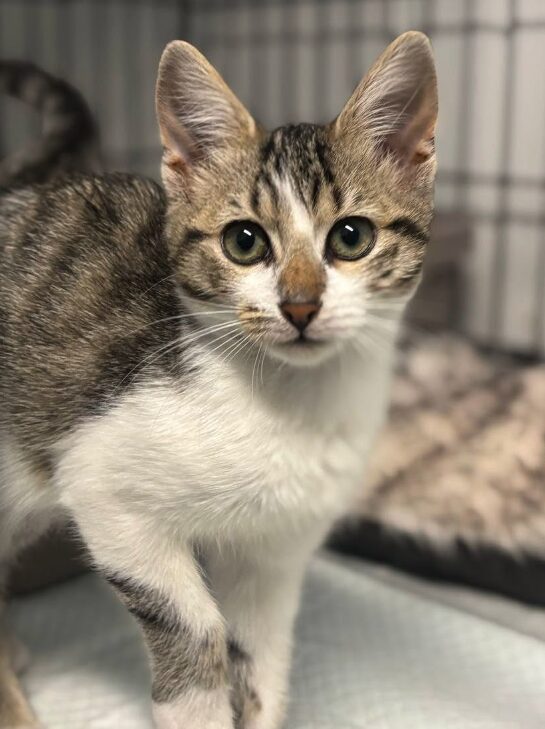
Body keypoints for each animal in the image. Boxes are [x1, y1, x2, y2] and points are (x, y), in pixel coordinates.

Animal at [0, 32, 436, 728]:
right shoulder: (105, 491)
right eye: (244, 242)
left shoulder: (273, 554)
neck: (290, 410)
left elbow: (261, 651)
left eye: (352, 236)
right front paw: (197, 706)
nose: (300, 306)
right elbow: (196, 626)